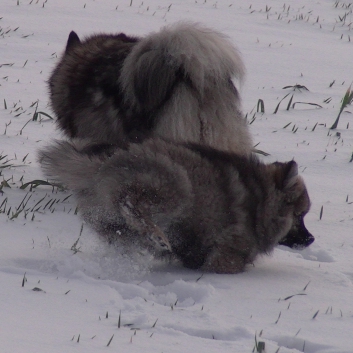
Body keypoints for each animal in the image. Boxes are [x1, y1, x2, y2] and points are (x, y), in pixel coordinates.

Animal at [38, 139, 314, 274]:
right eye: (300, 216)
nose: (311, 239)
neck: (260, 202)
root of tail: (105, 162)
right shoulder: (226, 256)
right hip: (177, 186)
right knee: (132, 203)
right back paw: (157, 235)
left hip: (110, 221)